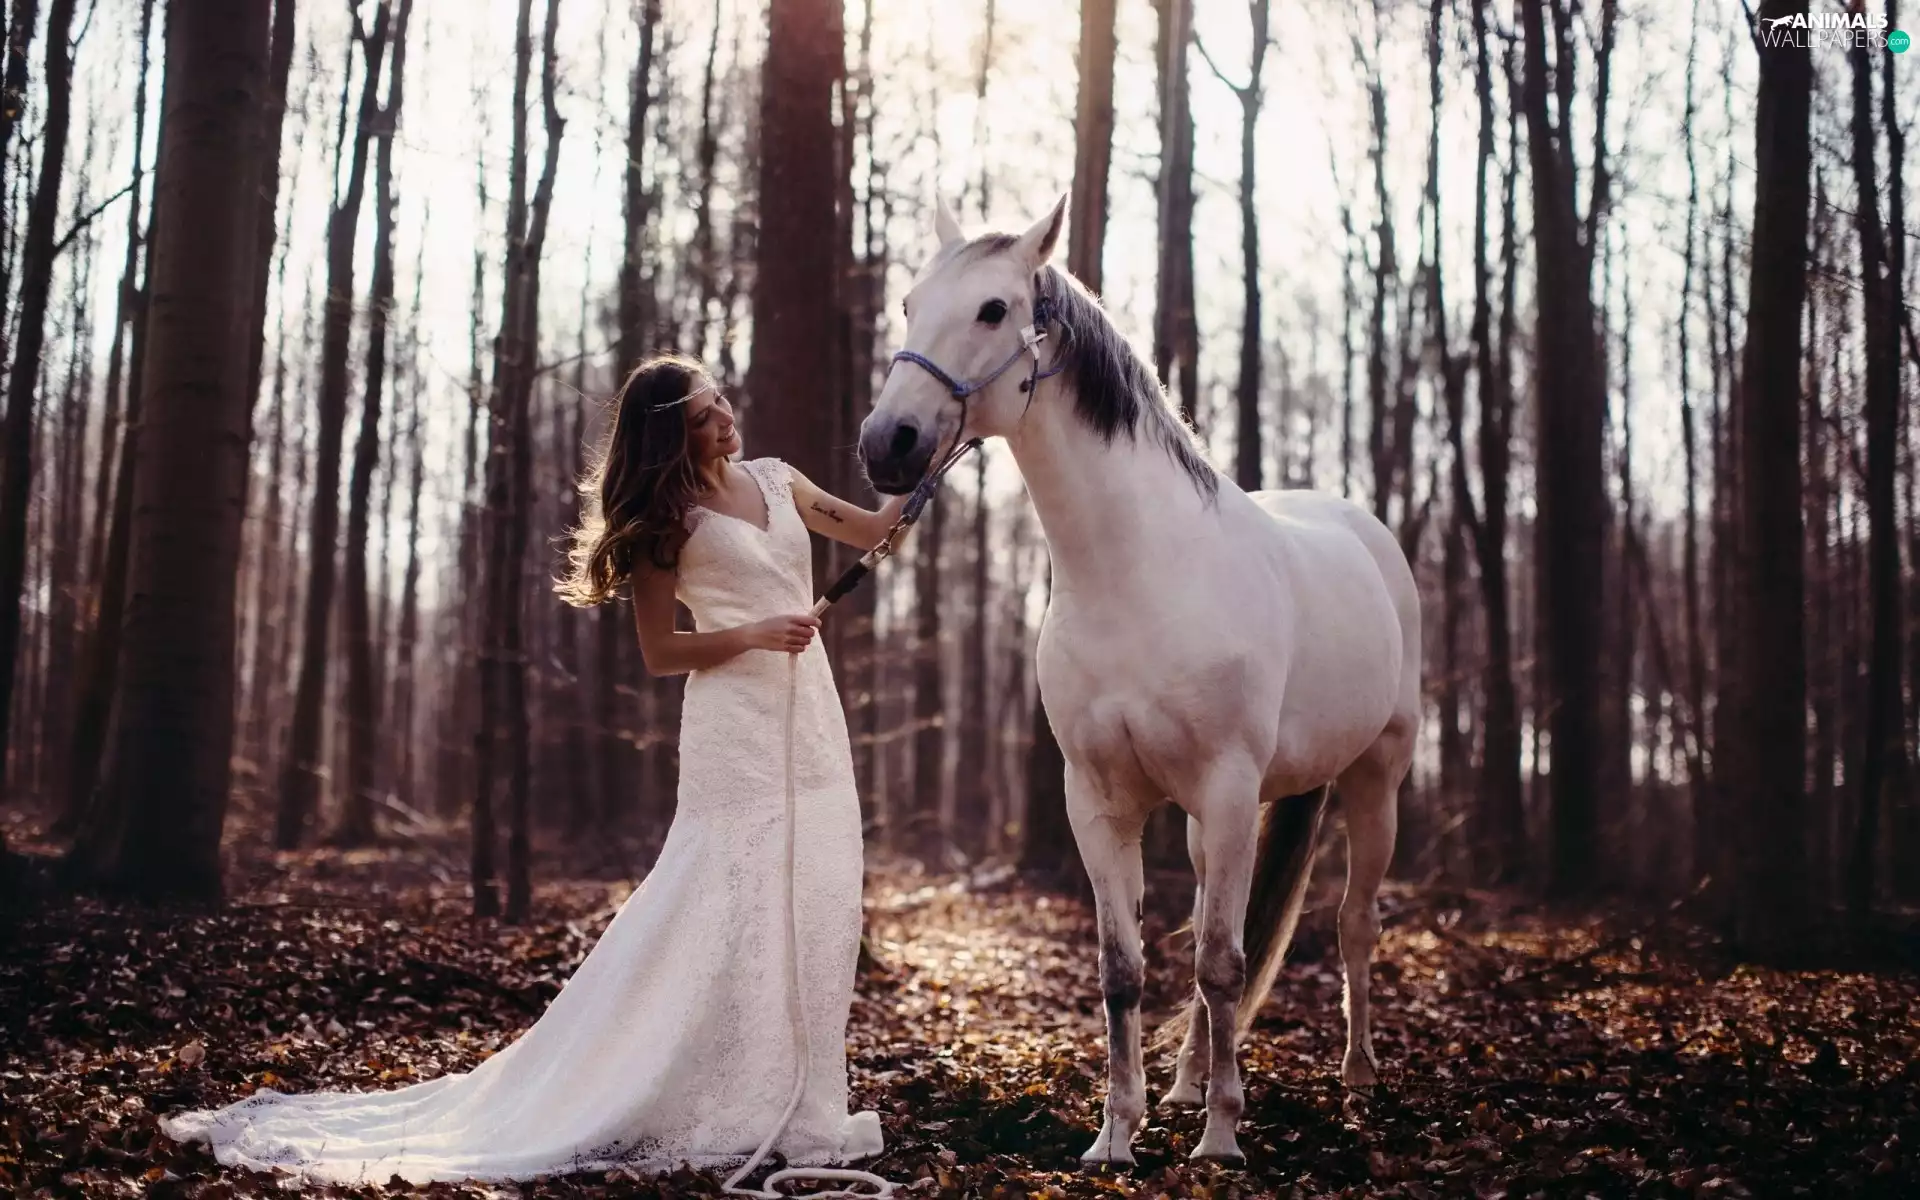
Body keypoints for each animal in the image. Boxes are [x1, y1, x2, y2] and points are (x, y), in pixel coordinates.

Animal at [857, 196, 1421, 1167]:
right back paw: (1192, 1081)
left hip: (1372, 779)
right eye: (907, 303)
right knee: (1214, 923)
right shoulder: (1101, 800)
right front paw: (1118, 1134)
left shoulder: (1228, 789)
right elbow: (1127, 969)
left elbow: (1224, 963)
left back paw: (1355, 1079)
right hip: (1205, 825)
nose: (886, 444)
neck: (1137, 573)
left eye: (995, 308)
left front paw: (1222, 1140)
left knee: (1353, 924)